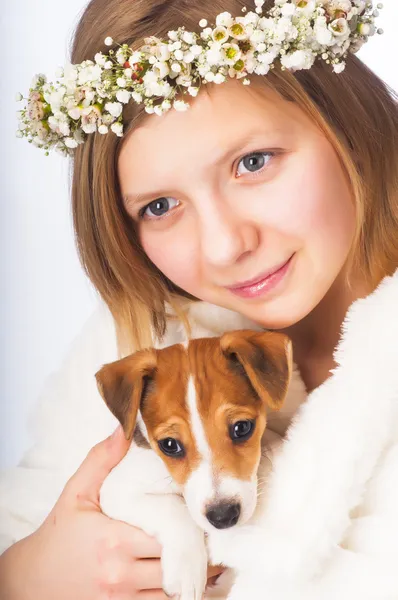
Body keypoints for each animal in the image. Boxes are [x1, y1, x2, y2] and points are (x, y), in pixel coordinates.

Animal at [97, 330, 308, 596]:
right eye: (169, 444)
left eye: (242, 428)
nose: (223, 516)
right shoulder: (117, 489)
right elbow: (175, 510)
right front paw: (186, 573)